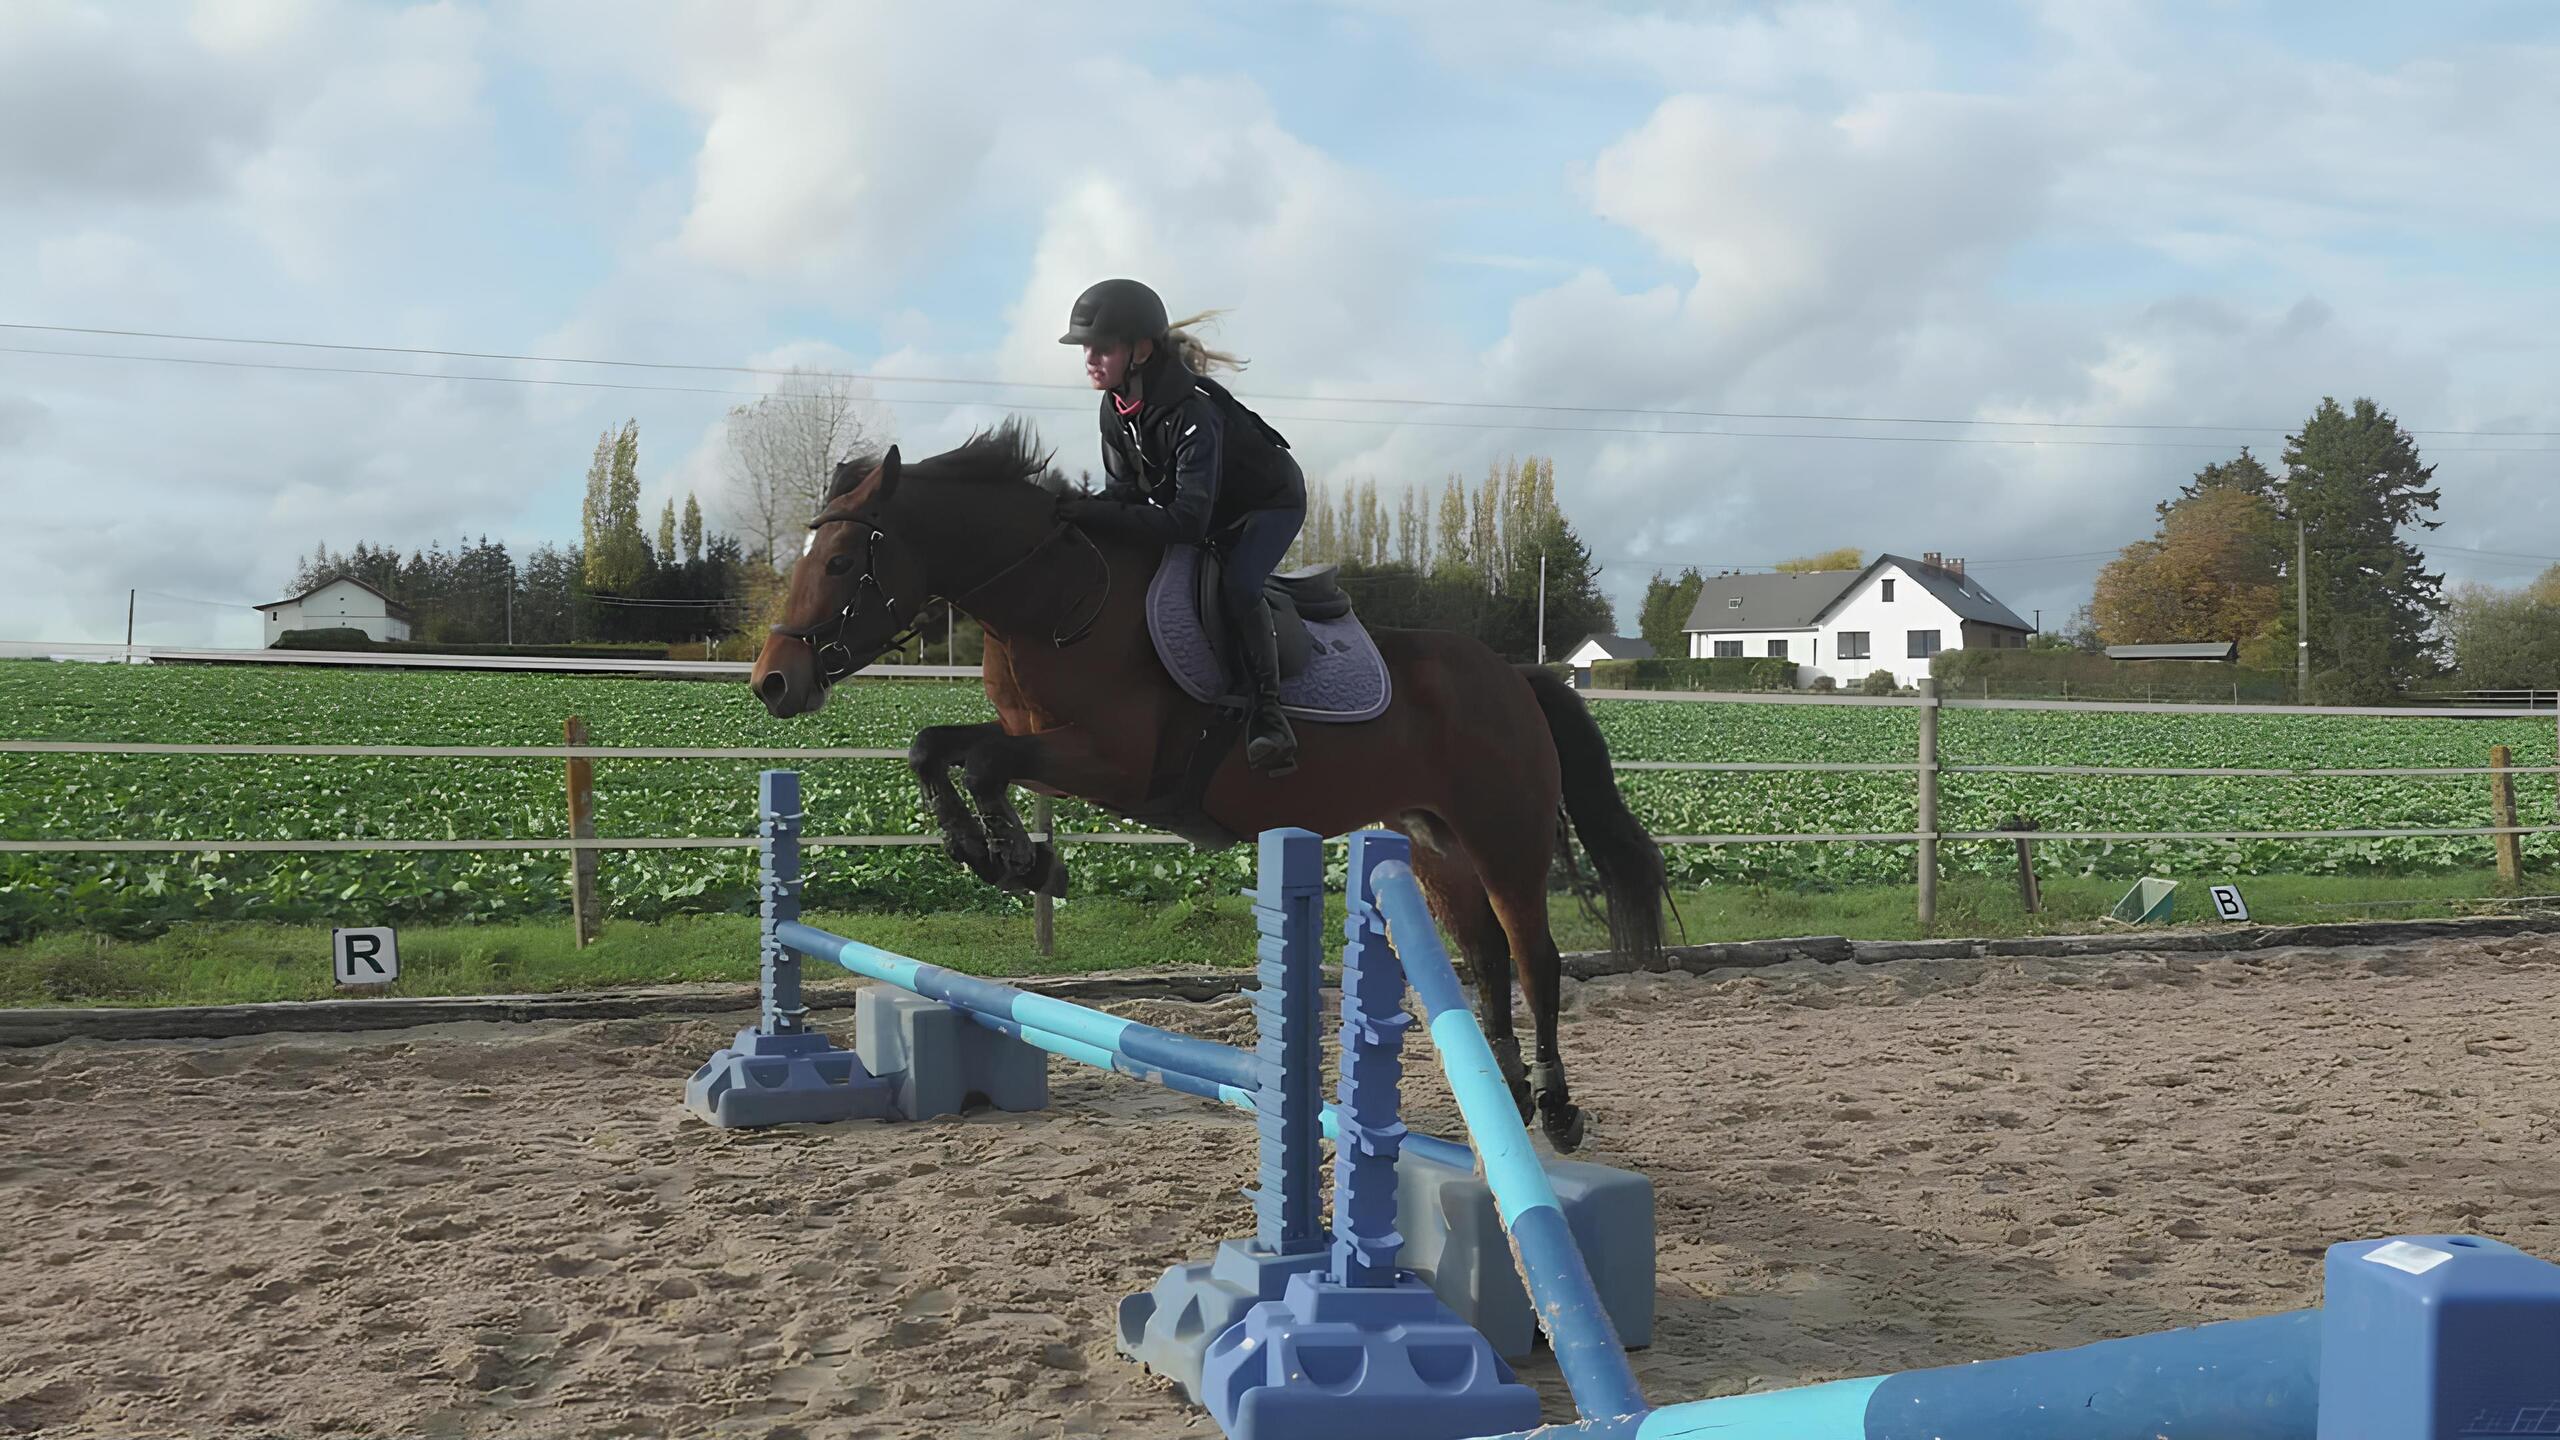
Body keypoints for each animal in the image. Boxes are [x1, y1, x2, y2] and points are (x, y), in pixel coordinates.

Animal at [750, 421, 1666, 1151]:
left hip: (1504, 836)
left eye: (841, 562)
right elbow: (933, 748)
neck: (1059, 599)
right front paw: (994, 854)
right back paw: (1506, 1102)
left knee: (1534, 959)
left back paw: (1556, 1110)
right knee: (1484, 959)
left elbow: (979, 764)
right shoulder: (1038, 744)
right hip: (1437, 845)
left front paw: (1020, 859)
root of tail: (1515, 675)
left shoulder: (1112, 763)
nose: (772, 682)